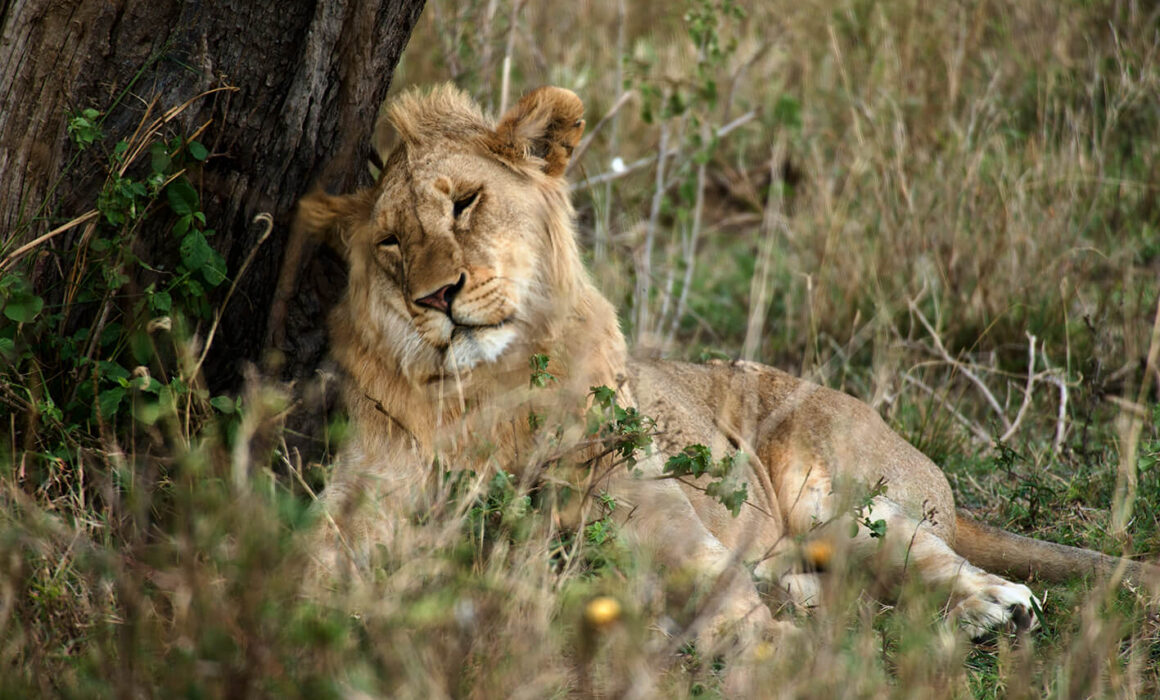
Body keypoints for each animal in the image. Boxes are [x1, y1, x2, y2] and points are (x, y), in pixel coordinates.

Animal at [289, 84, 1156, 650]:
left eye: (467, 202)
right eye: (391, 242)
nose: (436, 297)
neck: (493, 393)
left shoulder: (637, 489)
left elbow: (706, 578)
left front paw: (763, 648)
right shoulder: (365, 496)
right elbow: (315, 569)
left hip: (835, 488)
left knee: (924, 551)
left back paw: (995, 606)